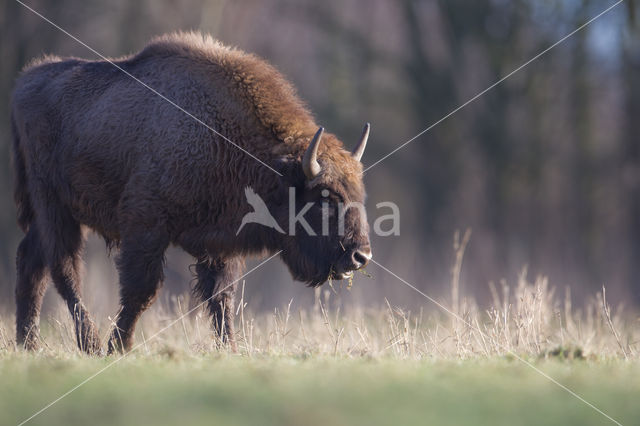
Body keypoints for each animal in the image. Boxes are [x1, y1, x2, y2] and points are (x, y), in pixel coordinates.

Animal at [8, 32, 370, 352]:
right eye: (325, 197)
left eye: (359, 195)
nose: (360, 256)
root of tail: (25, 82)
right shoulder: (146, 227)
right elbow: (140, 292)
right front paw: (118, 348)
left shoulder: (220, 244)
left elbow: (221, 299)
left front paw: (230, 351)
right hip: (53, 206)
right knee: (64, 270)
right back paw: (89, 344)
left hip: (52, 214)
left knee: (31, 262)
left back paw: (29, 345)